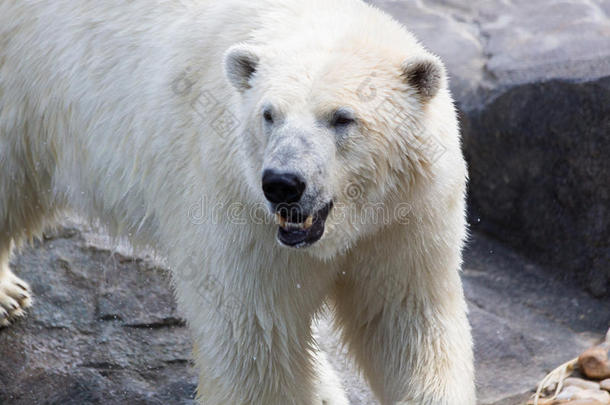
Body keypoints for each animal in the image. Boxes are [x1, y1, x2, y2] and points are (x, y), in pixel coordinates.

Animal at [0, 0, 476, 402]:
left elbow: (404, 323)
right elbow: (255, 343)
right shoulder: (239, 211)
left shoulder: (403, 218)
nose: (283, 183)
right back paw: (8, 295)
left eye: (343, 118)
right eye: (269, 114)